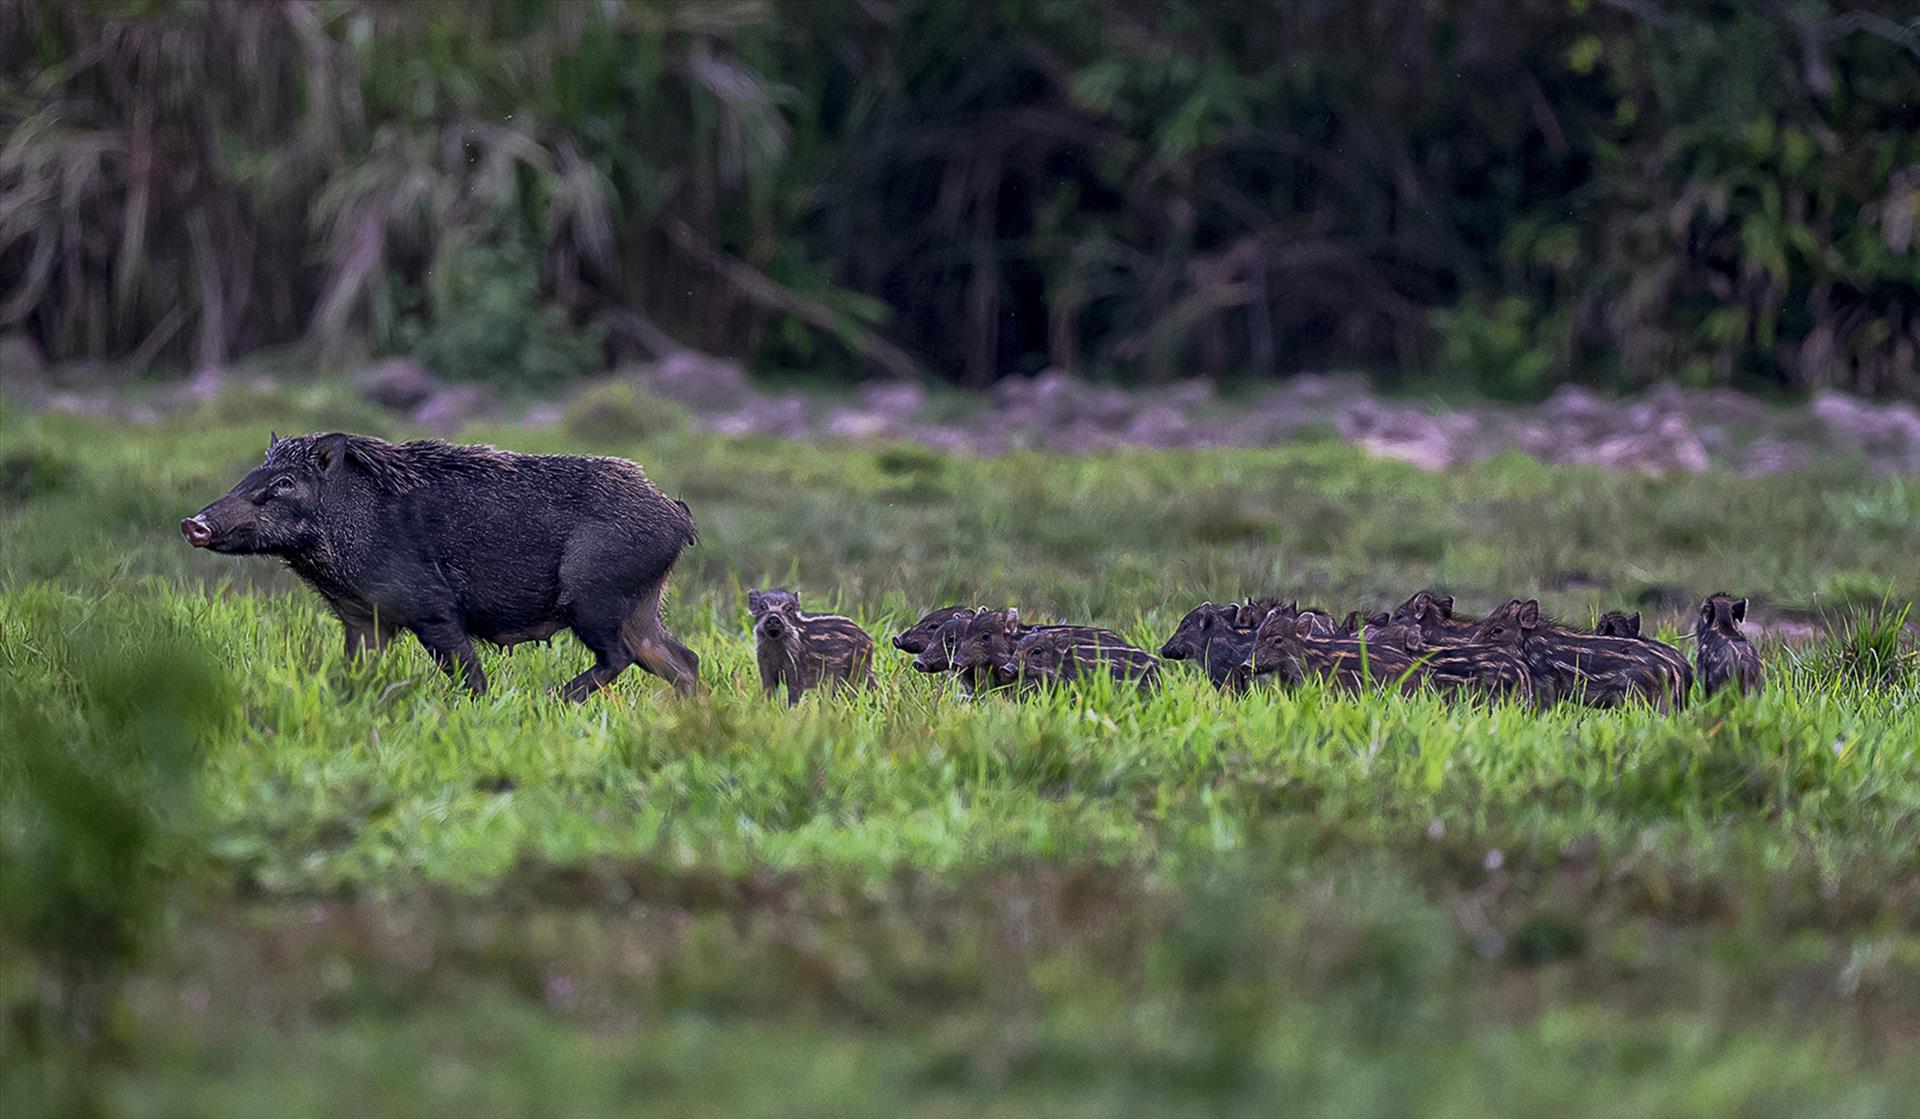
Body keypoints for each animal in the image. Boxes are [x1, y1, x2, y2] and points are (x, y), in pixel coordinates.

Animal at [181, 432, 698, 700]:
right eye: (252, 474)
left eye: (285, 482)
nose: (193, 523)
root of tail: (677, 515)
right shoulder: (363, 620)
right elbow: (357, 673)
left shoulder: (434, 609)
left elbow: (469, 674)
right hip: (640, 606)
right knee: (681, 659)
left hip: (593, 595)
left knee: (621, 656)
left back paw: (551, 699)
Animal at [1470, 599, 1688, 710]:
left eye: (1497, 630)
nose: (1471, 644)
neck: (1528, 646)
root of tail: (1673, 671)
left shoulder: (1545, 683)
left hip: (1634, 698)